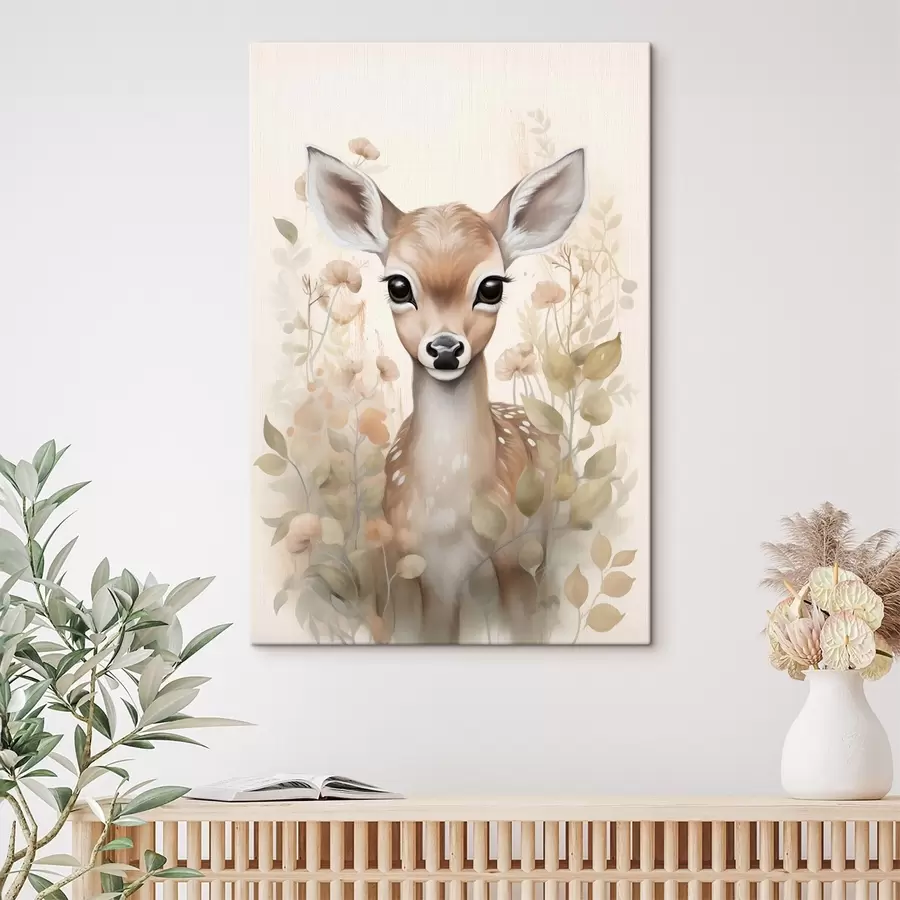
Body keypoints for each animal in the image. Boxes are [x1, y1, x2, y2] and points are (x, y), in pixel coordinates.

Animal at [306, 145, 586, 643]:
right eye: (398, 284)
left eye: (491, 286)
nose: (444, 349)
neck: (449, 516)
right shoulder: (423, 565)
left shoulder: (515, 550)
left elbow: (526, 624)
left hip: (539, 534)